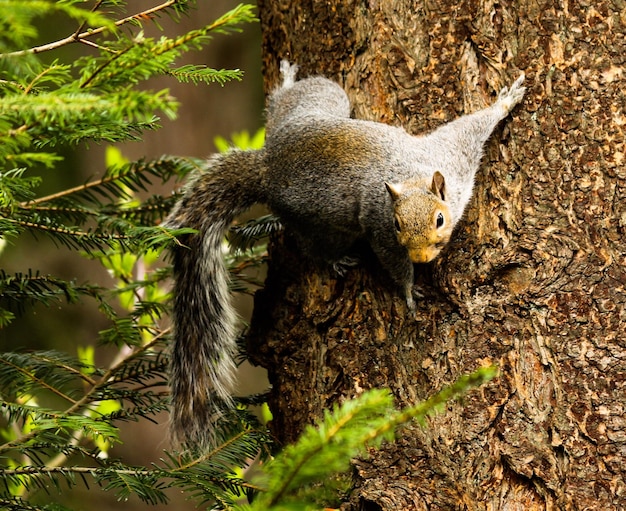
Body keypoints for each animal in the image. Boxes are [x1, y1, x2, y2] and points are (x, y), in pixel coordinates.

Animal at [163, 61, 524, 448]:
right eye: (397, 224)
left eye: (439, 219)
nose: (421, 259)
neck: (412, 177)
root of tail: (267, 168)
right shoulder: (379, 227)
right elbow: (392, 261)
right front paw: (409, 291)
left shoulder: (453, 158)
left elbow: (472, 125)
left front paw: (505, 102)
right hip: (324, 223)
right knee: (313, 246)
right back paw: (334, 260)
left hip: (319, 103)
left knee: (287, 105)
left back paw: (284, 85)